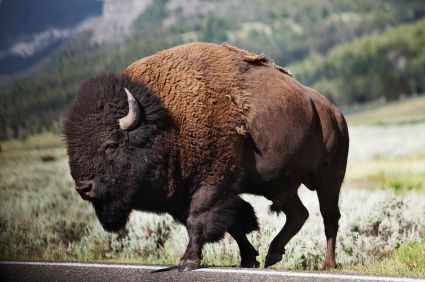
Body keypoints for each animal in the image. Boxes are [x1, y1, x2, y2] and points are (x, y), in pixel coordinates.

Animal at [63, 42, 348, 270]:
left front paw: (188, 261)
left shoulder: (210, 183)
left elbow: (199, 220)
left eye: (110, 145)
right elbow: (233, 223)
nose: (83, 187)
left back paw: (328, 264)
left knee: (329, 217)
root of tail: (332, 111)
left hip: (328, 177)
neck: (166, 121)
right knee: (299, 214)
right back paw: (273, 255)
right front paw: (249, 259)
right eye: (72, 148)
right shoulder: (184, 193)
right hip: (280, 185)